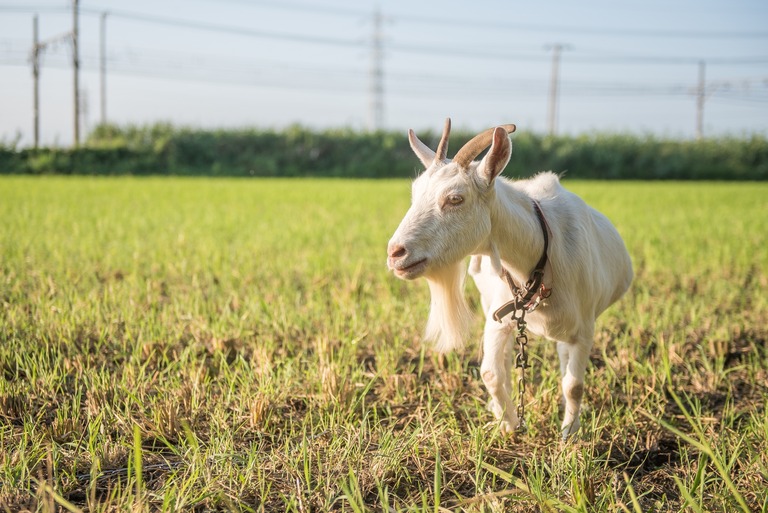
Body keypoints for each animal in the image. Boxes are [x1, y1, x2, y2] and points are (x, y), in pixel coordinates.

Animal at [388, 119, 632, 436]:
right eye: (415, 193)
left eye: (455, 198)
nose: (395, 253)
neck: (539, 256)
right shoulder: (499, 314)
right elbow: (491, 372)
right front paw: (509, 422)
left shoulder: (585, 328)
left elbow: (574, 385)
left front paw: (570, 432)